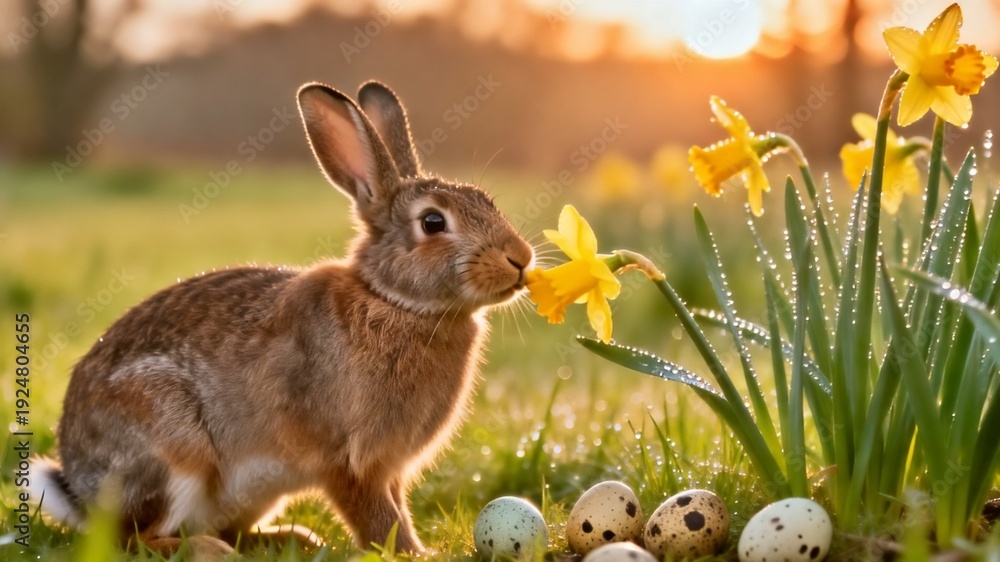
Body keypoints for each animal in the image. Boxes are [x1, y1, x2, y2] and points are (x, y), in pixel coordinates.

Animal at [28, 80, 534, 558]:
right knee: (133, 538)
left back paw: (292, 539)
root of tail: (81, 491)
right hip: (172, 449)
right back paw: (208, 551)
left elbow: (395, 507)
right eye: (432, 222)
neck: (395, 302)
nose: (521, 259)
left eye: (486, 201)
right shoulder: (348, 459)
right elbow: (378, 517)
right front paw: (415, 554)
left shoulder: (389, 466)